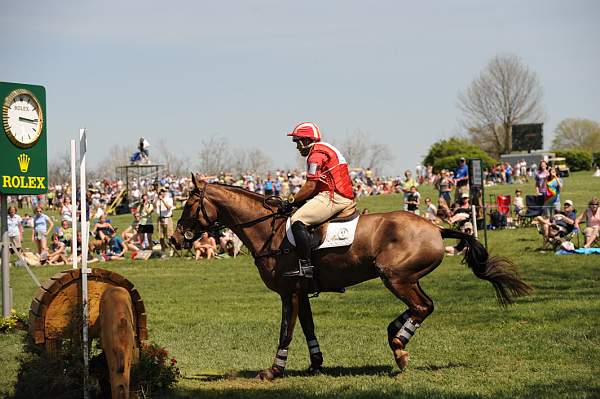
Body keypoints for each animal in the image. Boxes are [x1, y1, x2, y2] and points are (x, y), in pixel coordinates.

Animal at [169, 177, 528, 382]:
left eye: (188, 205)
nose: (174, 238)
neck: (269, 230)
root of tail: (435, 227)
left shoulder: (289, 293)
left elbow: (286, 332)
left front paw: (274, 371)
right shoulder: (301, 292)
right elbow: (308, 328)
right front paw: (316, 364)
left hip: (395, 277)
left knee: (422, 307)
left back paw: (399, 347)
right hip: (408, 277)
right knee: (423, 306)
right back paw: (395, 335)